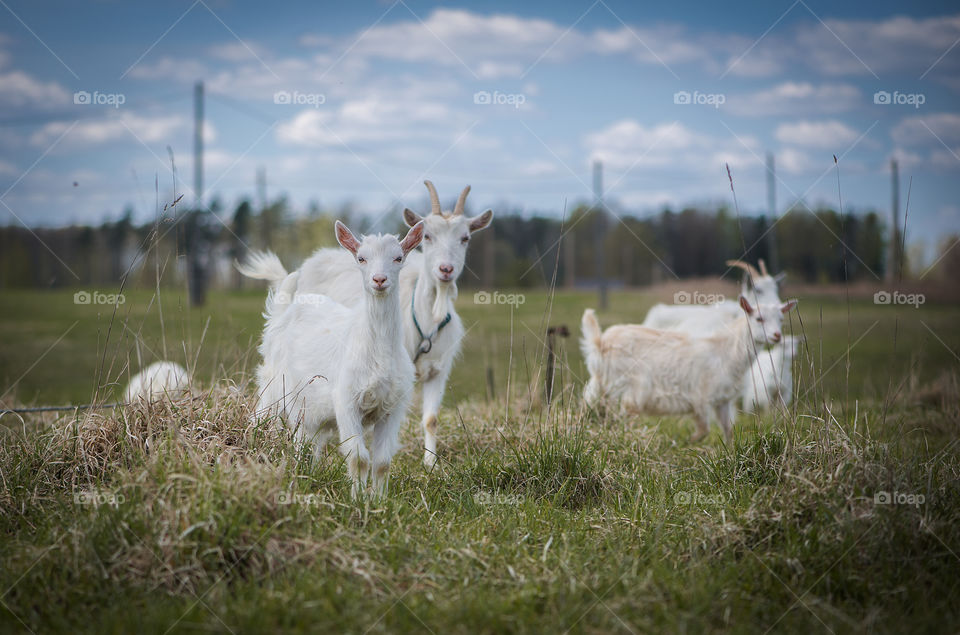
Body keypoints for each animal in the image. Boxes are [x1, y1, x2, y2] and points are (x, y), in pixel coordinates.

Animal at [239, 181, 493, 468]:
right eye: (428, 237)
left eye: (465, 238)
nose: (445, 270)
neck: (427, 316)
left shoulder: (437, 370)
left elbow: (431, 419)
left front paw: (431, 464)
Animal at [255, 220, 424, 497]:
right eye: (361, 258)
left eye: (398, 257)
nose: (379, 279)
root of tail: (283, 312)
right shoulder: (346, 401)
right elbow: (358, 458)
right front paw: (358, 499)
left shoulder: (393, 406)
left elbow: (382, 462)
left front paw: (380, 500)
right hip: (275, 386)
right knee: (263, 418)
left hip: (309, 407)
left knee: (307, 442)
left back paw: (306, 473)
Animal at [582, 295, 797, 443]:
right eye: (759, 318)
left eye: (781, 319)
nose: (777, 335)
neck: (725, 350)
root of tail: (600, 342)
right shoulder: (700, 397)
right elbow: (704, 430)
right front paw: (683, 442)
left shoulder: (722, 401)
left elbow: (728, 431)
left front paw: (731, 455)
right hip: (629, 389)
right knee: (621, 416)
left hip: (599, 385)